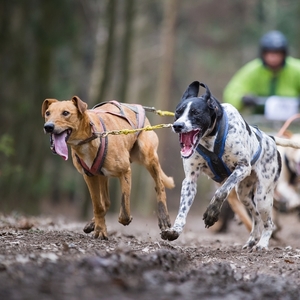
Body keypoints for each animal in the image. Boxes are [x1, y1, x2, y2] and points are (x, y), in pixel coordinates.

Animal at [41, 96, 175, 239]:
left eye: (65, 113)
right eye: (48, 113)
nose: (48, 127)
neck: (91, 137)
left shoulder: (125, 172)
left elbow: (124, 209)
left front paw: (121, 220)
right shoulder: (89, 176)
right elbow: (98, 205)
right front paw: (100, 229)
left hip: (148, 157)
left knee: (160, 186)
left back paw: (164, 219)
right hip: (102, 175)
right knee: (106, 202)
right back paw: (93, 222)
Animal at [161, 80, 282, 251]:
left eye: (195, 113)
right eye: (178, 112)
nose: (177, 125)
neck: (211, 137)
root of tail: (271, 139)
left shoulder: (242, 167)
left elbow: (221, 192)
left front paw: (212, 212)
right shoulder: (190, 180)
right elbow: (183, 210)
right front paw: (175, 230)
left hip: (262, 196)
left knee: (269, 223)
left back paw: (263, 244)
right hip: (244, 195)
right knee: (256, 217)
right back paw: (253, 239)